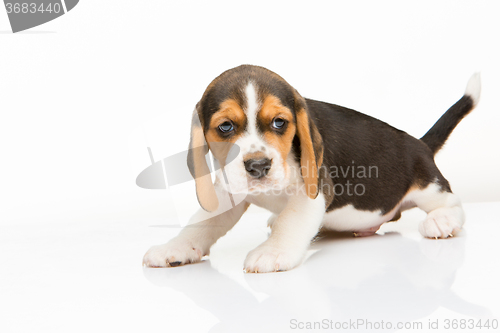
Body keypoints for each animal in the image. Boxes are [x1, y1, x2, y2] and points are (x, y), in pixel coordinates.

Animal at [144, 65, 480, 272]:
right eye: (225, 127)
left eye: (279, 122)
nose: (258, 166)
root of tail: (420, 144)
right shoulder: (228, 191)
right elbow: (201, 223)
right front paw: (175, 247)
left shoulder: (315, 189)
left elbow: (291, 220)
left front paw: (273, 251)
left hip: (427, 184)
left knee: (452, 202)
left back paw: (442, 221)